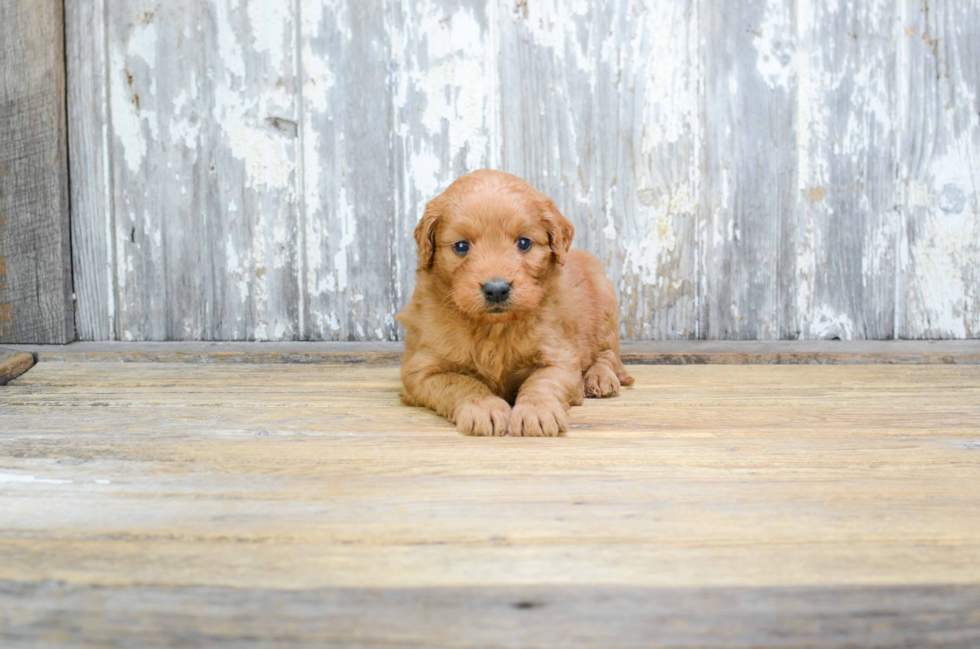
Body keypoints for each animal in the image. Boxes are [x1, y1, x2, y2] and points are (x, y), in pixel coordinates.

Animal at [398, 170, 636, 438]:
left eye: (524, 243)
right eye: (461, 246)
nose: (496, 289)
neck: (493, 328)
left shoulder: (561, 356)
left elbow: (542, 382)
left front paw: (537, 412)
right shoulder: (420, 370)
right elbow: (460, 382)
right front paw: (484, 407)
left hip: (606, 306)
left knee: (608, 355)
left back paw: (599, 378)